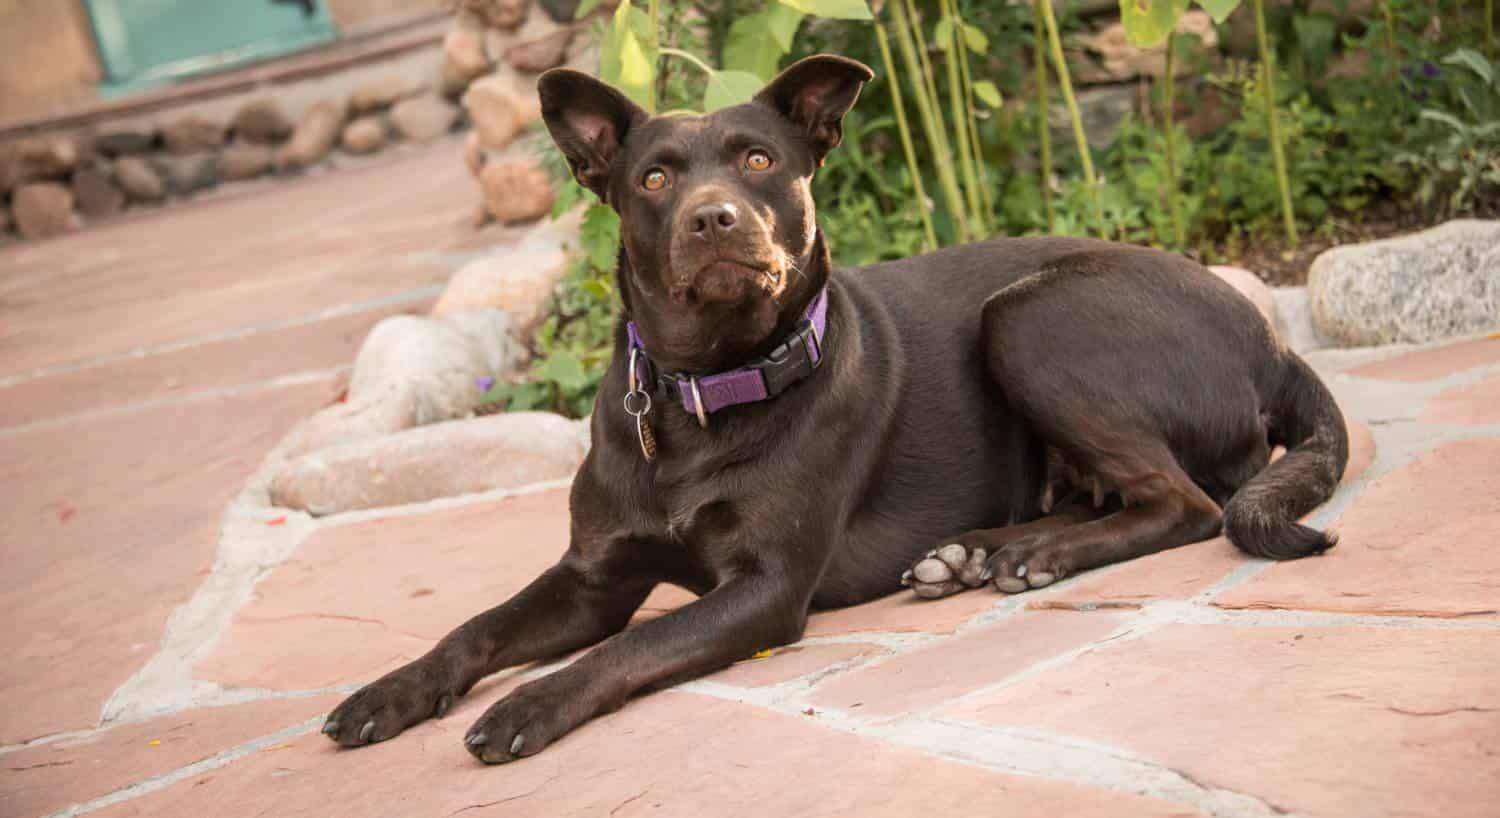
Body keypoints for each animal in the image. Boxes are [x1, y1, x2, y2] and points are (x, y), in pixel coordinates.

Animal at [319, 54, 1350, 762]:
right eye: (653, 178)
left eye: (759, 159)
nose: (714, 219)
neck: (704, 394)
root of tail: (1272, 341)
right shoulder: (591, 578)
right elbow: (479, 626)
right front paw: (390, 692)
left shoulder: (766, 588)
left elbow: (640, 641)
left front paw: (530, 704)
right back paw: (977, 552)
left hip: (1029, 316)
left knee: (1187, 503)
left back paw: (1039, 556)